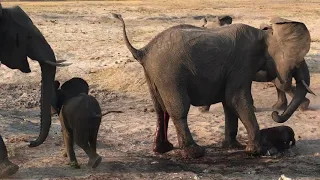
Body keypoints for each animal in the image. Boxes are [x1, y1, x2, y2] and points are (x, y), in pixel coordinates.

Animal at [113, 13, 312, 158]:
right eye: (297, 60)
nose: (274, 114)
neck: (263, 33)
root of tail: (144, 50)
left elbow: (229, 104)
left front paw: (234, 146)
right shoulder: (242, 62)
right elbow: (236, 99)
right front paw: (256, 151)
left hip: (153, 74)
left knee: (160, 109)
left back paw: (163, 149)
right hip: (170, 74)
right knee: (179, 109)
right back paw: (194, 153)